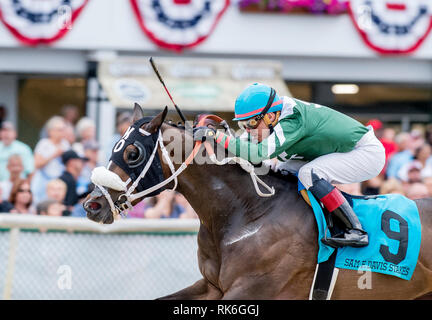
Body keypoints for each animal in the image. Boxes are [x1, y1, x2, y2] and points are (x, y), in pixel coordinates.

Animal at [83, 106, 432, 298]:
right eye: (115, 147)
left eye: (133, 153)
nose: (92, 204)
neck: (249, 212)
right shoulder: (212, 286)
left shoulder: (254, 289)